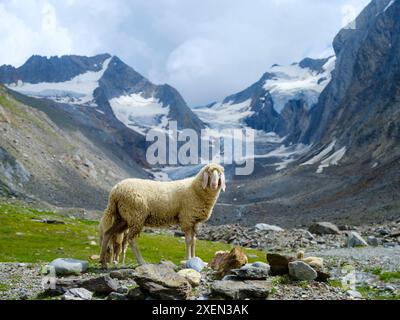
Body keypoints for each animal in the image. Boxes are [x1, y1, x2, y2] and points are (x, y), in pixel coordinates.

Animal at [99, 162, 227, 268]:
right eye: (209, 172)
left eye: (220, 173)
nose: (214, 184)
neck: (195, 189)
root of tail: (115, 191)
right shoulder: (186, 218)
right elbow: (189, 241)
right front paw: (188, 260)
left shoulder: (194, 221)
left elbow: (194, 241)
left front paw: (194, 259)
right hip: (136, 215)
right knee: (131, 239)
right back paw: (141, 262)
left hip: (123, 218)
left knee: (108, 233)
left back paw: (103, 262)